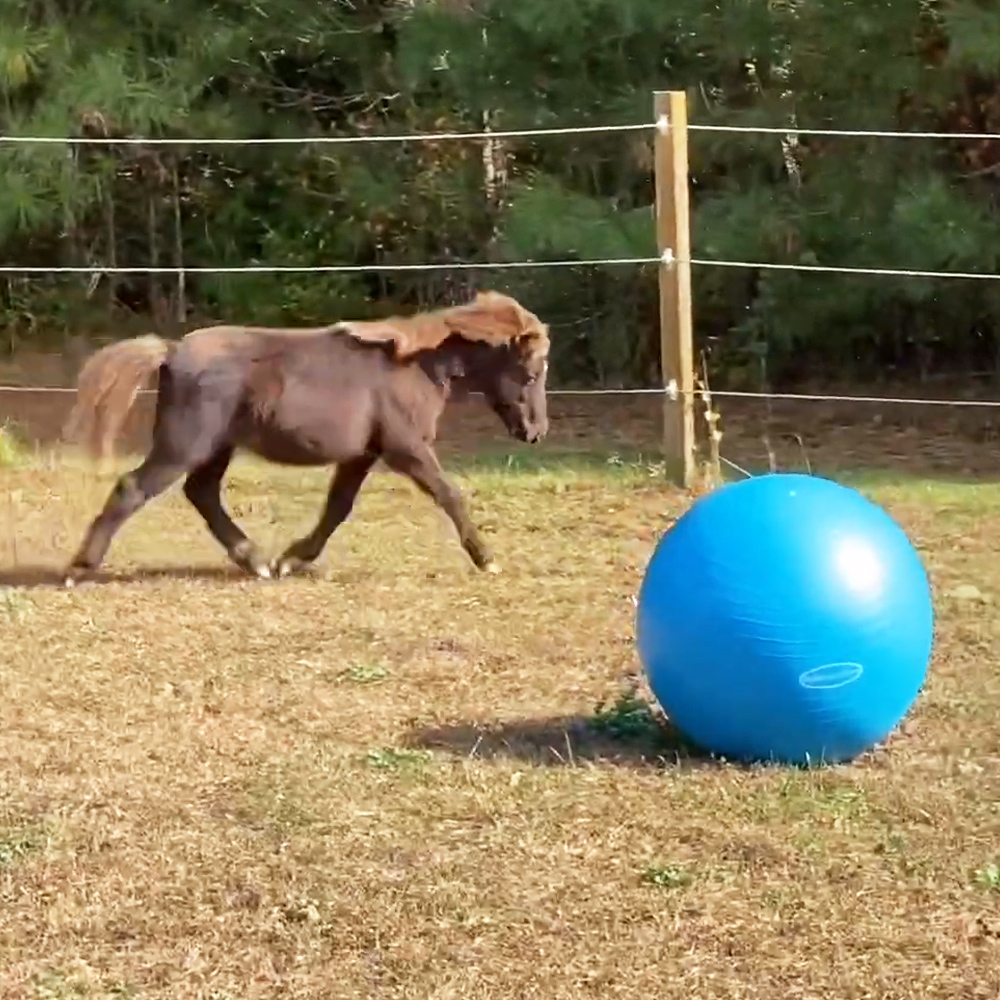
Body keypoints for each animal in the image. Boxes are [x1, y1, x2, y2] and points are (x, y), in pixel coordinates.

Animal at [61, 290, 550, 586]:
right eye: (530, 372)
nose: (535, 432)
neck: (415, 365)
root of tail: (171, 351)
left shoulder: (362, 455)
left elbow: (338, 507)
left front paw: (291, 559)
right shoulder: (406, 448)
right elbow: (449, 494)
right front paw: (487, 559)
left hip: (216, 447)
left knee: (201, 493)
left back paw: (257, 561)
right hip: (184, 444)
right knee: (133, 488)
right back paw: (79, 569)